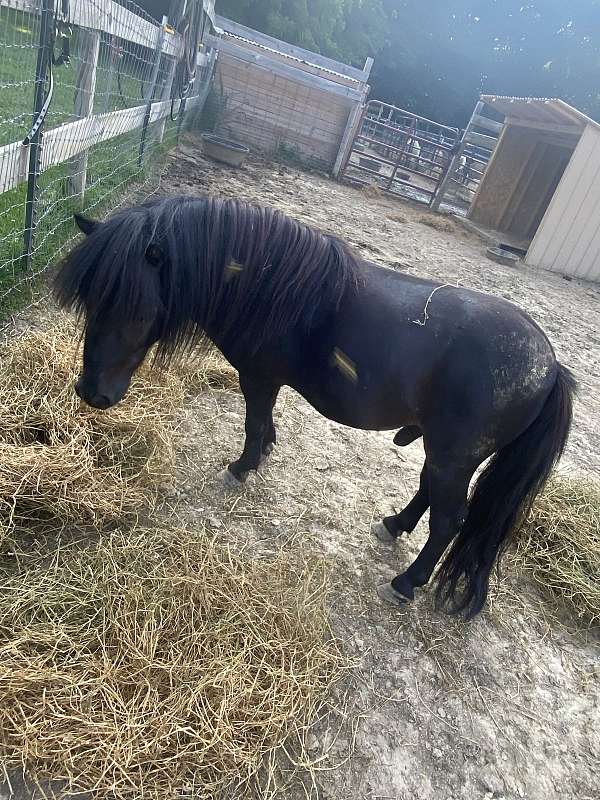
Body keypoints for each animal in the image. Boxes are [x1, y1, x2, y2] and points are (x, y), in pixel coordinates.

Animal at [53, 195, 576, 619]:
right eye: (91, 299)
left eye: (136, 306)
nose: (91, 393)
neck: (263, 282)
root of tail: (550, 365)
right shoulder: (266, 381)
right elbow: (264, 423)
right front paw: (263, 454)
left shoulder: (258, 377)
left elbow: (253, 422)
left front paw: (242, 467)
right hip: (446, 451)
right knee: (430, 494)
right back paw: (394, 525)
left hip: (454, 455)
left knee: (449, 520)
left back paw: (406, 583)